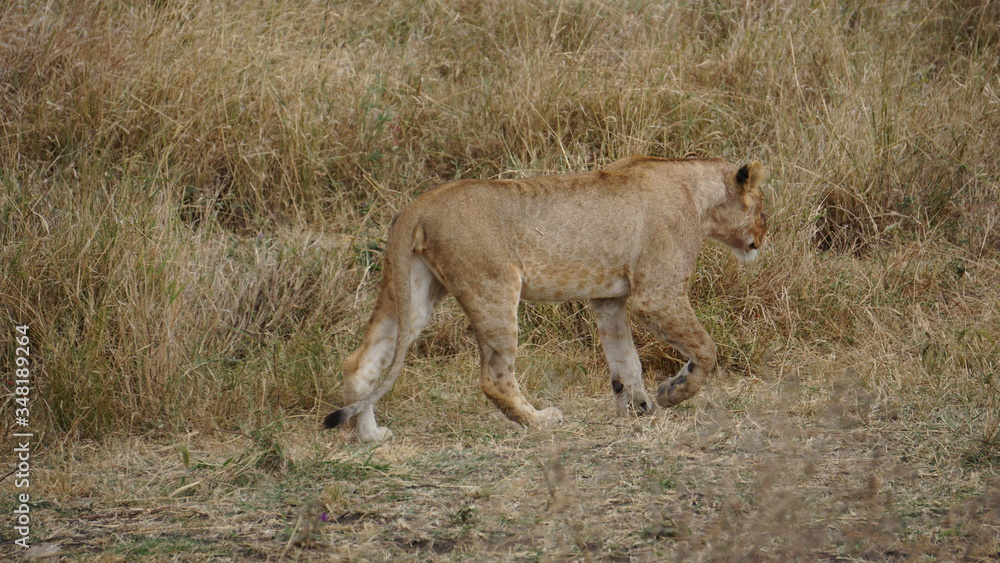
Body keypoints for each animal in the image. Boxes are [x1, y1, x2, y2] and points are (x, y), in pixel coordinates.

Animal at [324, 156, 768, 442]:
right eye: (762, 208)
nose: (764, 238)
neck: (697, 195)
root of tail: (418, 205)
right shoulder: (656, 294)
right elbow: (705, 349)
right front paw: (673, 393)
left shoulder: (607, 298)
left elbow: (625, 360)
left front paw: (638, 410)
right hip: (495, 288)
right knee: (494, 379)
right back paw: (540, 421)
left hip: (412, 293)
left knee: (360, 363)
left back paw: (371, 436)